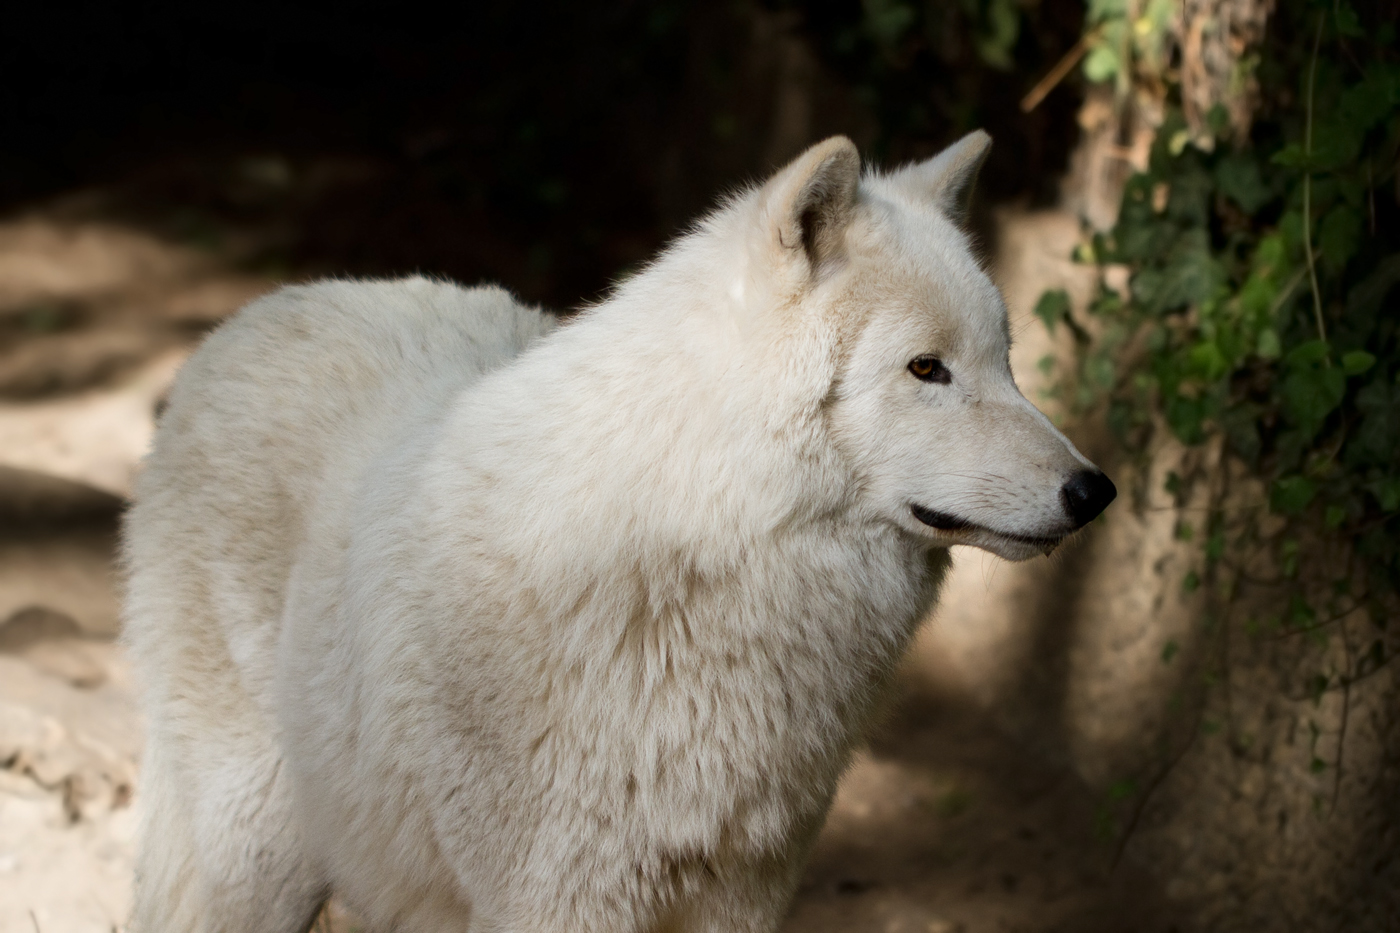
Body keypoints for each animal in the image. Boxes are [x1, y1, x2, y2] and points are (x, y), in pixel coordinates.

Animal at [128, 132, 1114, 930]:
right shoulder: (560, 900)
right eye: (926, 369)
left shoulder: (742, 895)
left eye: (1006, 361)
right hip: (259, 856)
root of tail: (257, 312)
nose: (1095, 489)